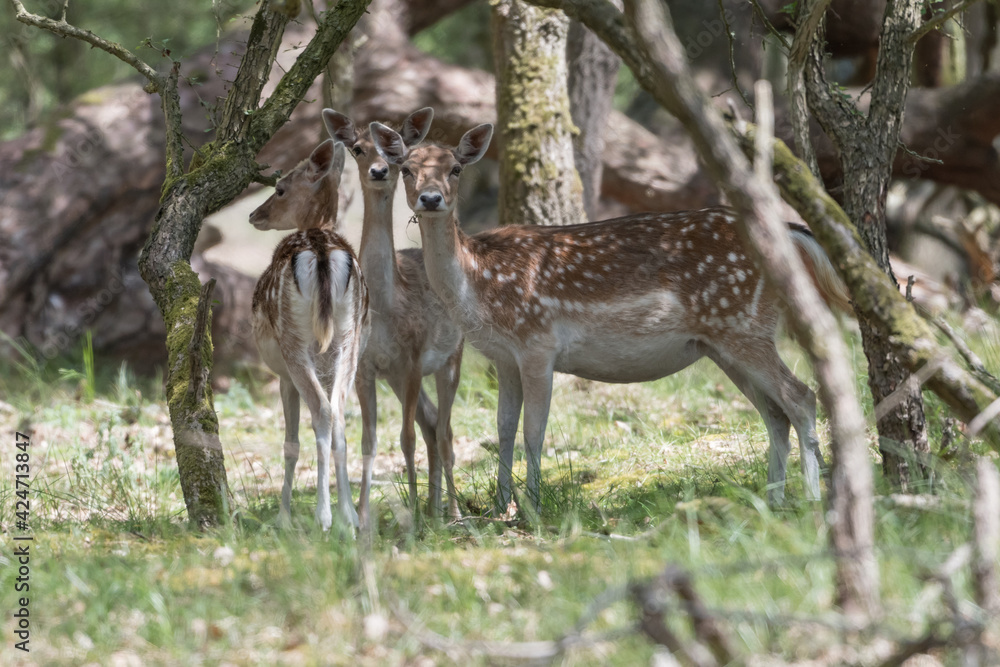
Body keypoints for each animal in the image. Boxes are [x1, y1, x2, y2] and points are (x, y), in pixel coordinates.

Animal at [249, 138, 370, 531]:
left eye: (280, 188)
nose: (254, 214)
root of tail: (320, 250)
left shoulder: (283, 375)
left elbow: (290, 443)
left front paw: (283, 517)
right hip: (350, 340)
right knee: (339, 414)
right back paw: (350, 516)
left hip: (294, 345)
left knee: (321, 411)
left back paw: (324, 516)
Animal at [322, 107, 465, 521]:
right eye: (356, 147)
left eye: (399, 153)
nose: (380, 170)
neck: (386, 306)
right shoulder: (366, 367)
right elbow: (369, 440)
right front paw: (363, 516)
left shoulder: (413, 359)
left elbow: (406, 438)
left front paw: (413, 516)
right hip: (398, 378)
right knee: (432, 423)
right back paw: (433, 506)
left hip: (451, 357)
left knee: (442, 429)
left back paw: (450, 510)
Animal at [369, 121, 853, 514]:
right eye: (407, 168)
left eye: (455, 168)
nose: (431, 199)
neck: (478, 282)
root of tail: (790, 233)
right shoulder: (503, 357)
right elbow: (503, 429)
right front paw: (500, 506)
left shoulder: (537, 342)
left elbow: (533, 432)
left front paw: (533, 508)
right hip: (721, 342)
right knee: (774, 413)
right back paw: (773, 500)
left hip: (741, 325)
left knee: (801, 396)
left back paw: (813, 498)